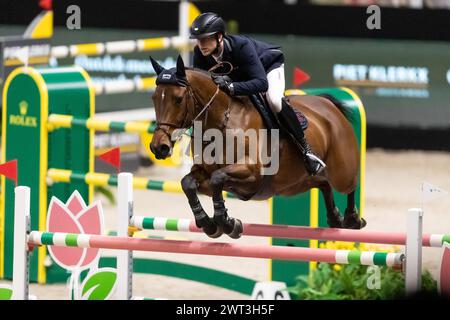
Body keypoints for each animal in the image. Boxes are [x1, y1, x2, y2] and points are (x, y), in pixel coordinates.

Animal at [148, 56, 366, 239]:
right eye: (154, 98)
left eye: (178, 99)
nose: (159, 147)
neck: (221, 121)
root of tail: (329, 106)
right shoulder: (204, 174)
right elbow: (188, 183)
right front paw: (209, 223)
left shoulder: (252, 173)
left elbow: (218, 178)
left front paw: (227, 223)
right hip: (294, 184)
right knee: (323, 183)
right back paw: (335, 218)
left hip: (340, 171)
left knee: (349, 184)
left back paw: (352, 219)